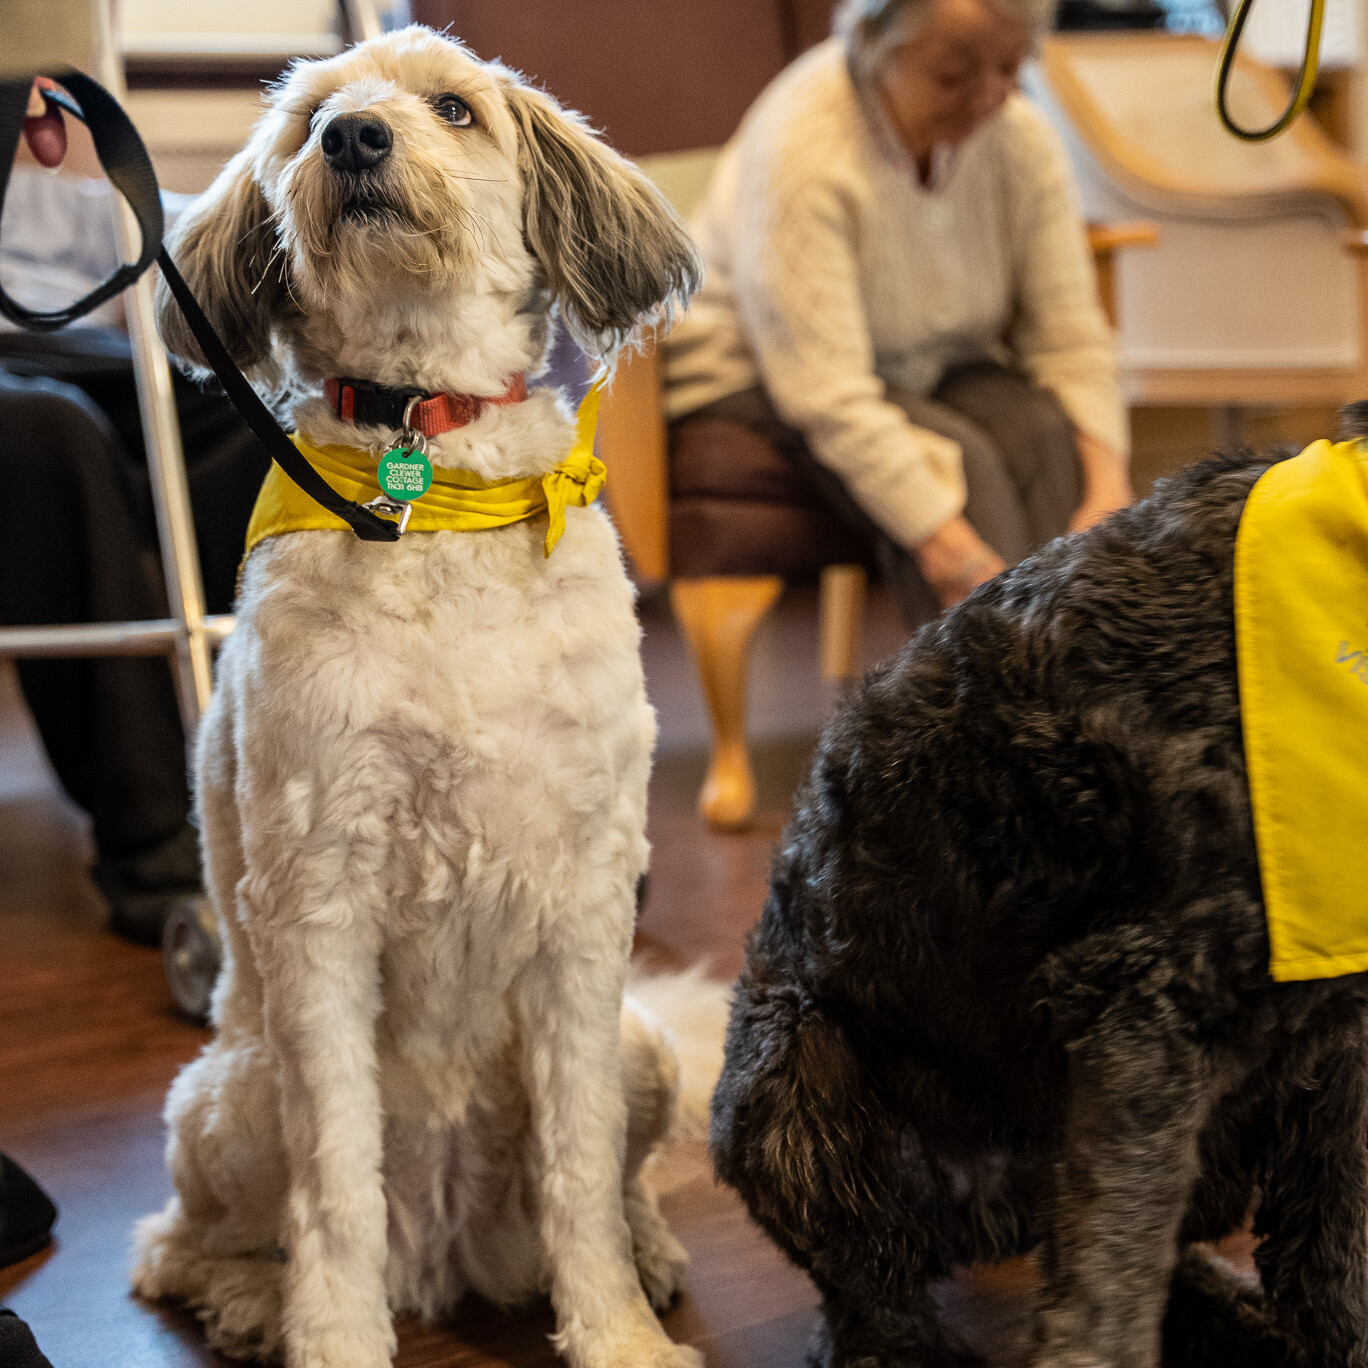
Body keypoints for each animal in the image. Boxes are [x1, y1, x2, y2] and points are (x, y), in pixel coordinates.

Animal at [129, 26, 711, 1368]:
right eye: (309, 123)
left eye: (454, 109)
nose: (354, 139)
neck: (431, 477)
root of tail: (452, 1253)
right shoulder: (316, 900)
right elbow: (335, 1190)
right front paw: (330, 1339)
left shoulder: (587, 899)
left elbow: (580, 1167)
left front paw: (615, 1331)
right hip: (231, 1099)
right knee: (173, 1243)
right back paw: (248, 1302)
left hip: (641, 1045)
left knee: (618, 1177)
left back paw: (651, 1253)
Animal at [711, 440, 1368, 1368]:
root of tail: (1001, 1207)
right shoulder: (1144, 1009)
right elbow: (1107, 1298)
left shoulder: (1336, 1032)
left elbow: (1328, 1248)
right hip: (795, 1080)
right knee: (868, 1307)